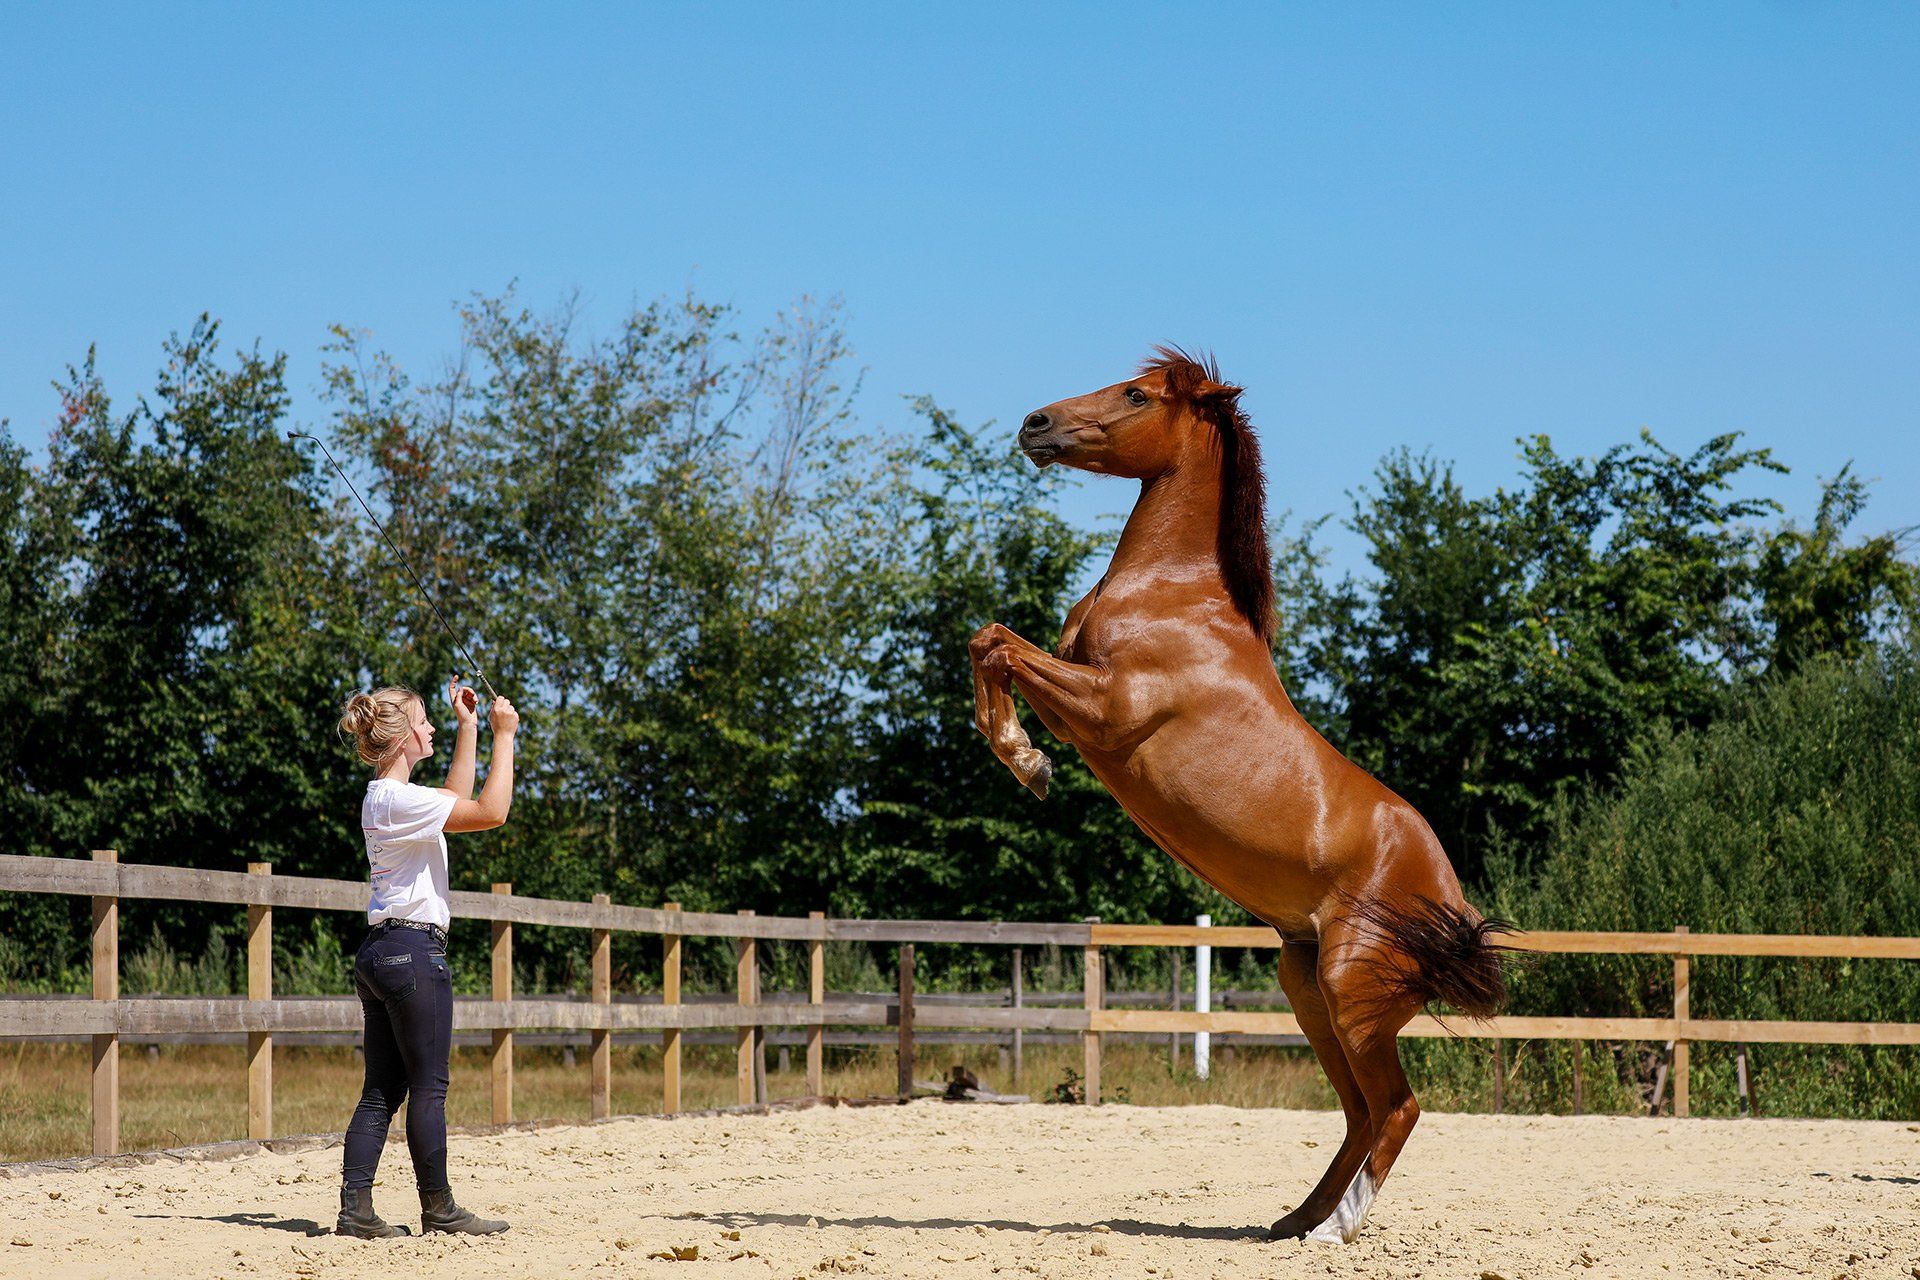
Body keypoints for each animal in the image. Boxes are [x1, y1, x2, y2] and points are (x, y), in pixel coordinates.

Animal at [969, 348, 1511, 1244]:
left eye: (1136, 394)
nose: (1034, 424)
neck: (1175, 596)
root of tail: (1452, 909)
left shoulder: (1108, 710)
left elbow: (997, 644)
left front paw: (1027, 764)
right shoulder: (1080, 705)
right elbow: (991, 646)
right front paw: (1027, 760)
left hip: (1352, 994)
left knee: (1398, 1108)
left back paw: (1335, 1230)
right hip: (1308, 990)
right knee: (1360, 1114)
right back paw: (1291, 1221)